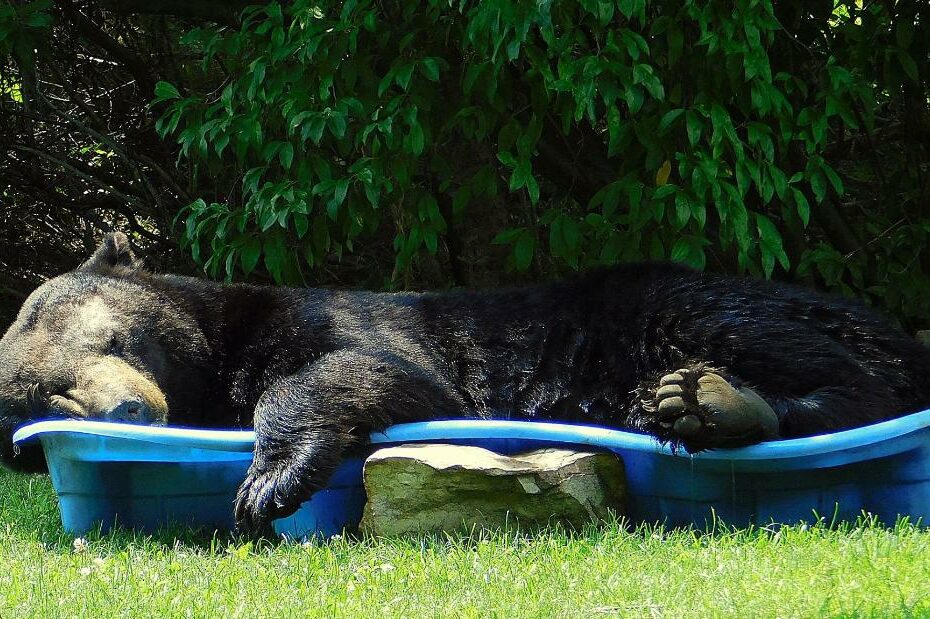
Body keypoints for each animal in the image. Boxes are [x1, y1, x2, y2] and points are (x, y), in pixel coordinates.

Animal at [1, 235, 928, 536]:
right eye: (46, 397)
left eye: (112, 337)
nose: (130, 407)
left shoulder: (334, 318)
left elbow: (377, 370)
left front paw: (269, 480)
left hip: (691, 304)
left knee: (826, 360)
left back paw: (713, 399)